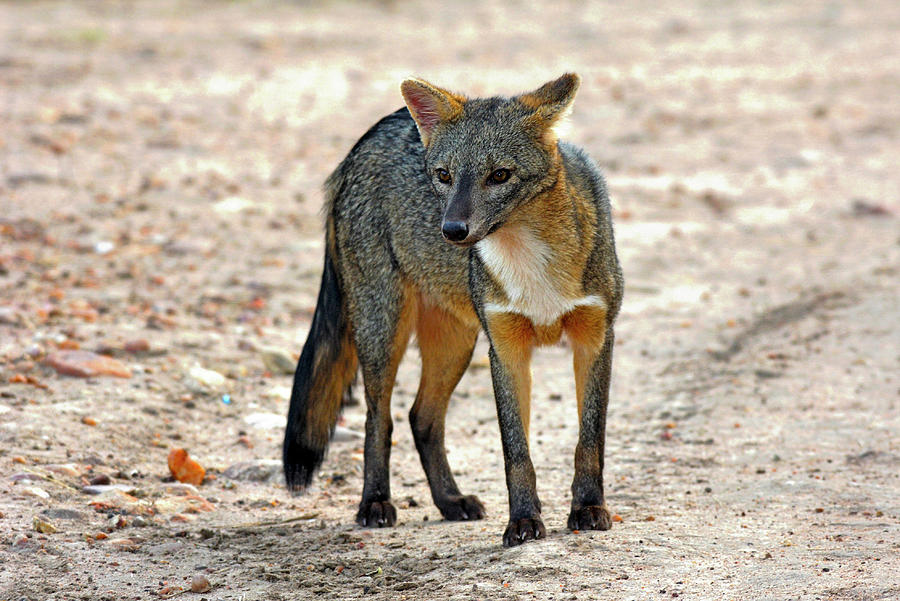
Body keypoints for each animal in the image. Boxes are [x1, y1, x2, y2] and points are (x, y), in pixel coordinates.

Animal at [282, 73, 623, 547]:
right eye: (443, 176)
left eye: (499, 175)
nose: (453, 230)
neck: (531, 264)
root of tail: (362, 142)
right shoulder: (505, 348)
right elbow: (516, 451)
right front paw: (522, 521)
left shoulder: (595, 338)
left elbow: (589, 439)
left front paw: (588, 508)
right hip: (384, 331)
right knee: (380, 420)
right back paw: (374, 502)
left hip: (456, 343)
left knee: (421, 418)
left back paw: (450, 501)